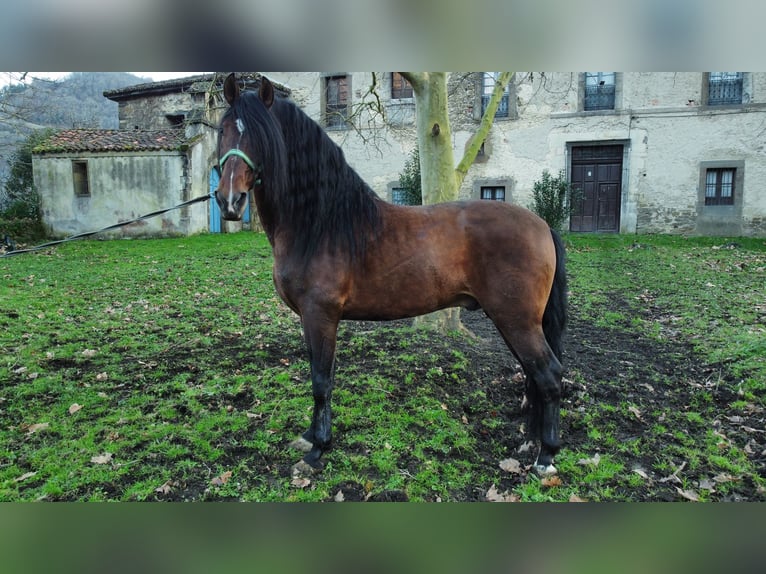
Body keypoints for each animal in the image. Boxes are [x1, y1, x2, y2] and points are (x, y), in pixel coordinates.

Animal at [215, 73, 568, 475]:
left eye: (263, 136)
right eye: (223, 129)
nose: (229, 200)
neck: (320, 224)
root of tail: (542, 226)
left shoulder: (320, 316)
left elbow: (321, 380)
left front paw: (318, 448)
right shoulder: (310, 319)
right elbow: (318, 374)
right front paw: (309, 435)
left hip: (517, 320)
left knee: (548, 376)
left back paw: (545, 456)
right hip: (515, 321)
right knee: (532, 375)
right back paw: (529, 440)